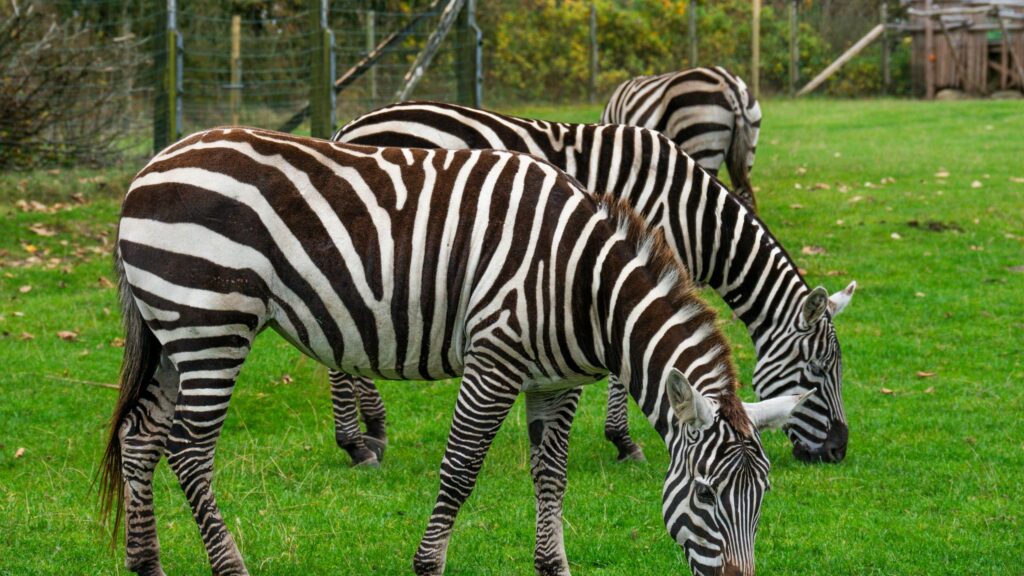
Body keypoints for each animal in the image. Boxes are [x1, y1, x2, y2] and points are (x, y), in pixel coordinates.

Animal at [99, 127, 808, 576]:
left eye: (765, 498)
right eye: (709, 495)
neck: (584, 284)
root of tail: (151, 166)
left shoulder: (553, 381)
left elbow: (551, 475)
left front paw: (553, 566)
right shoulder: (494, 360)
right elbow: (461, 470)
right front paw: (427, 564)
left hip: (172, 331)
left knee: (140, 438)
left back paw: (146, 564)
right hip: (210, 324)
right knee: (189, 450)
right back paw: (231, 566)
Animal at [332, 101, 855, 465]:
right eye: (818, 371)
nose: (837, 451)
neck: (692, 216)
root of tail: (351, 127)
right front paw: (624, 441)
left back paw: (373, 429)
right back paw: (357, 443)